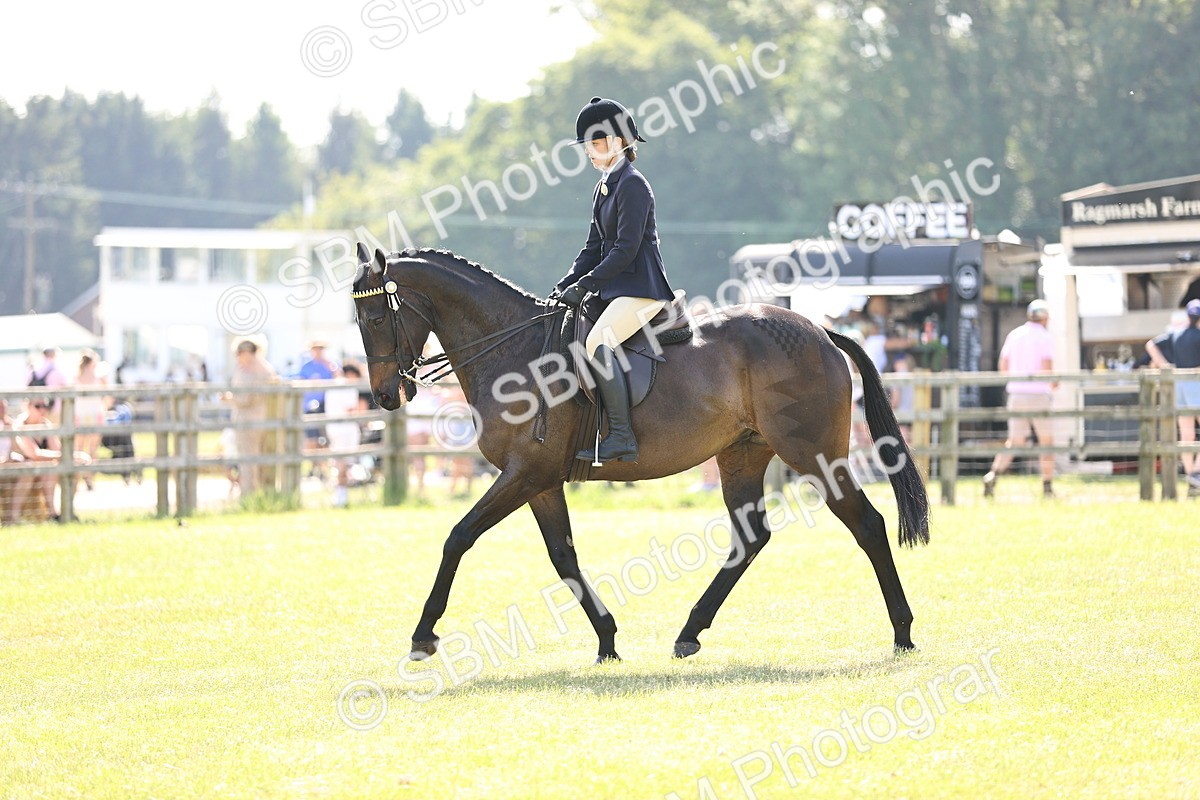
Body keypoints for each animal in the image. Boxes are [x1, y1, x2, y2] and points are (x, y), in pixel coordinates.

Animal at [350, 245, 929, 663]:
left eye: (377, 318)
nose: (384, 396)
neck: (513, 350)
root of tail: (822, 332)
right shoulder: (540, 481)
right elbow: (563, 557)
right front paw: (607, 639)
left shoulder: (524, 474)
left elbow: (458, 537)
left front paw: (423, 635)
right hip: (741, 457)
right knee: (751, 537)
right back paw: (689, 632)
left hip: (814, 456)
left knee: (868, 524)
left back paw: (902, 632)